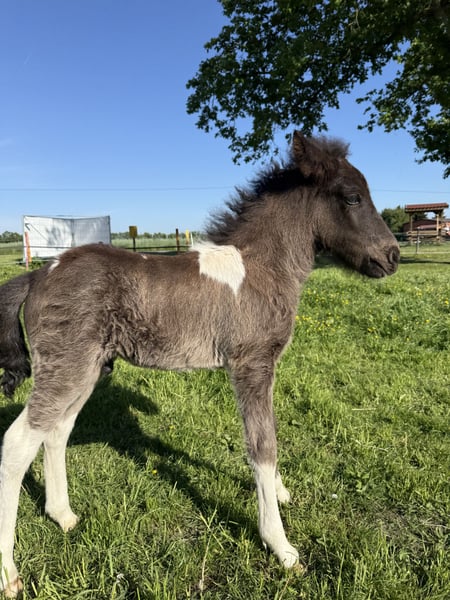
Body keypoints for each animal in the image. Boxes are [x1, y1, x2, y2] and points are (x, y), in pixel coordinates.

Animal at [0, 132, 399, 596]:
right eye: (352, 197)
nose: (393, 256)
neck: (260, 268)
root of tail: (37, 275)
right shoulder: (251, 365)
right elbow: (262, 445)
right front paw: (281, 546)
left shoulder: (265, 367)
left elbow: (269, 433)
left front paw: (280, 494)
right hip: (67, 366)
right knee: (18, 441)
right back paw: (9, 573)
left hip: (88, 368)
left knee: (56, 432)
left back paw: (62, 515)